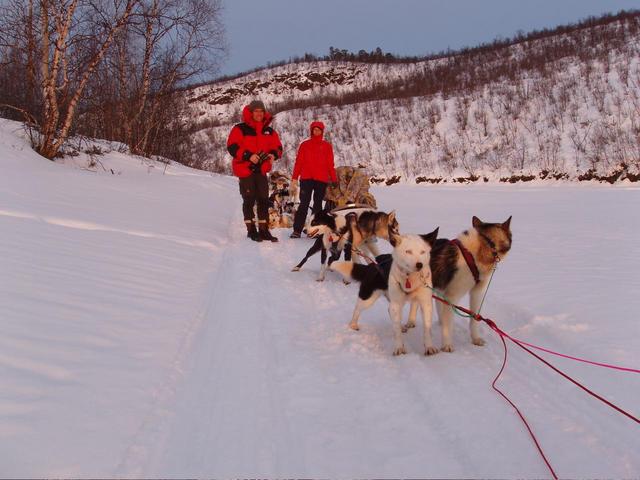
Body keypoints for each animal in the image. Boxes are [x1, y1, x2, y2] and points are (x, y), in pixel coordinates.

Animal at [408, 216, 512, 350]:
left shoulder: (477, 293)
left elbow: (474, 319)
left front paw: (475, 339)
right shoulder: (452, 296)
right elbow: (448, 326)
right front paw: (447, 345)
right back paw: (411, 322)